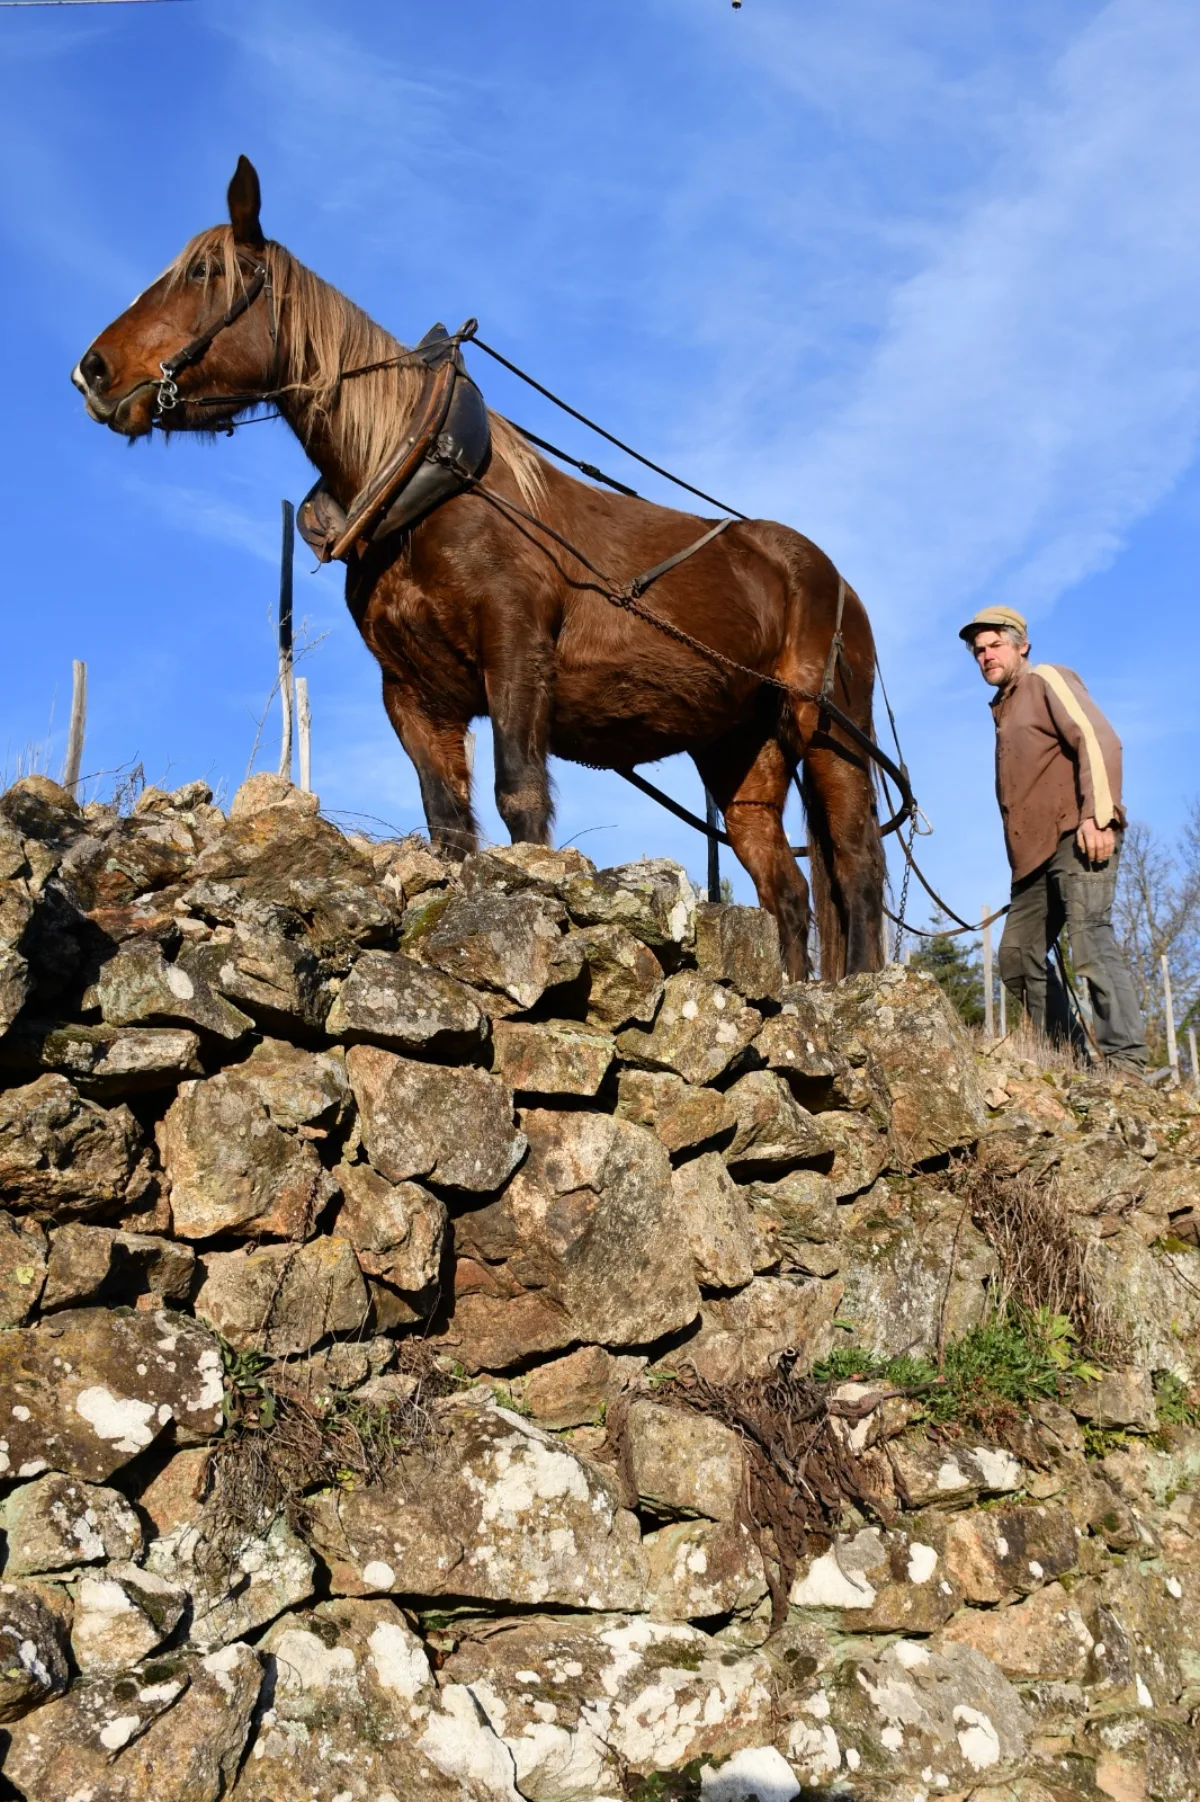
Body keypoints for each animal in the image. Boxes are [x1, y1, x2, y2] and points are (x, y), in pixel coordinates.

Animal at [72, 156, 886, 981]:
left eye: (205, 272)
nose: (91, 371)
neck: (424, 484)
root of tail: (834, 581)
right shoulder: (414, 693)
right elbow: (449, 821)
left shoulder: (516, 652)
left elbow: (519, 794)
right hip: (738, 749)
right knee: (786, 889)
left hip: (831, 735)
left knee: (856, 868)